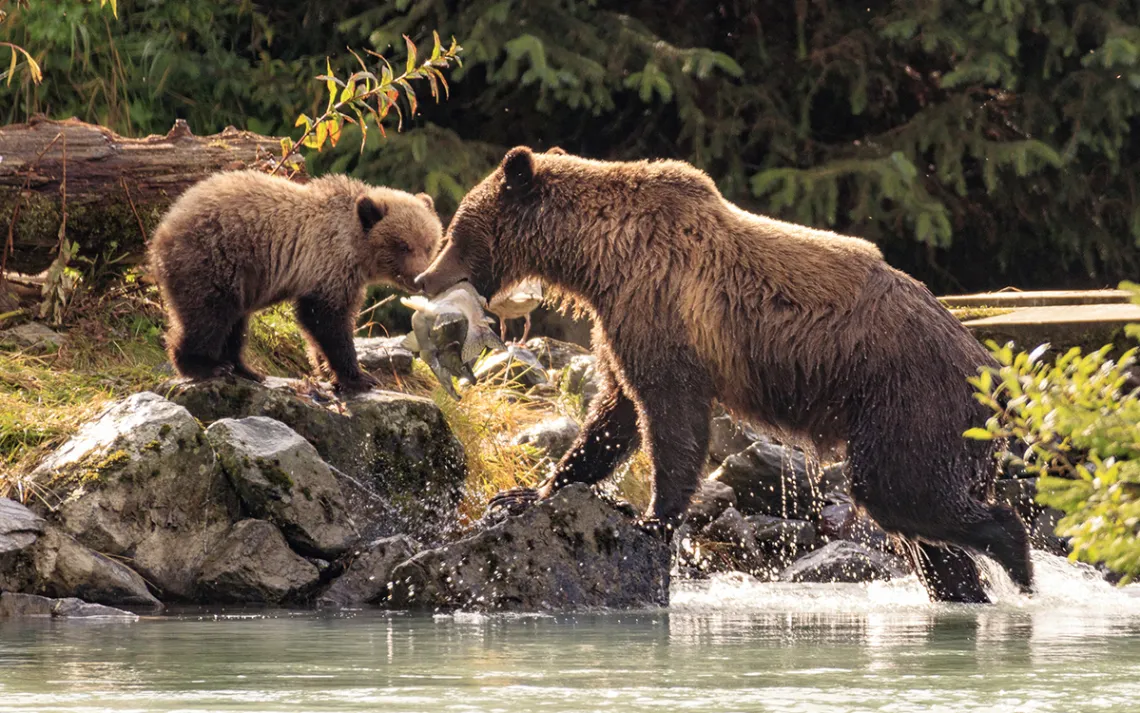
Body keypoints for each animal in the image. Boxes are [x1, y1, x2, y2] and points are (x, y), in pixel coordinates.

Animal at [149, 169, 441, 392]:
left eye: (429, 244)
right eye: (403, 246)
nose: (420, 278)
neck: (356, 248)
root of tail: (164, 226)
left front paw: (327, 369)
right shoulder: (328, 263)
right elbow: (326, 320)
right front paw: (358, 376)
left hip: (240, 279)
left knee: (235, 322)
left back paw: (245, 368)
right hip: (215, 258)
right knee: (208, 315)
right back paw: (205, 365)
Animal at [415, 146, 1032, 604]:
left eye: (457, 229)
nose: (425, 278)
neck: (599, 258)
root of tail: (996, 374)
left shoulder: (660, 307)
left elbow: (669, 413)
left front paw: (652, 518)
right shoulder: (620, 322)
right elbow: (612, 415)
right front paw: (528, 493)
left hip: (911, 399)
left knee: (901, 490)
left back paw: (1017, 562)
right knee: (923, 529)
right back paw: (965, 589)